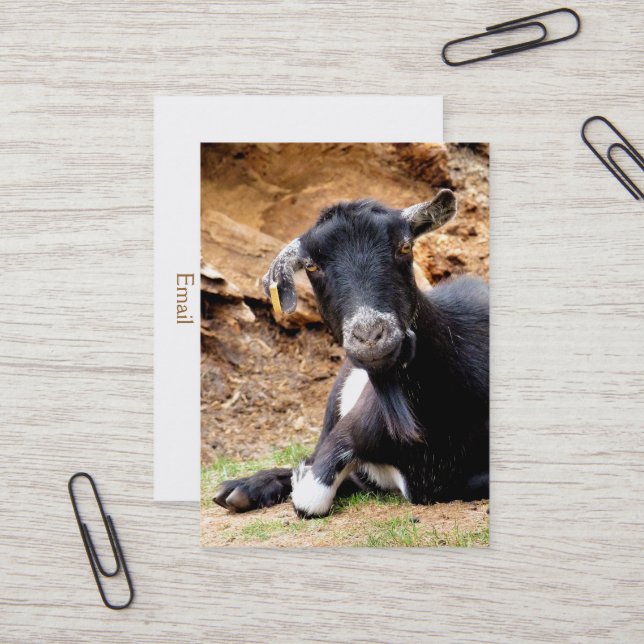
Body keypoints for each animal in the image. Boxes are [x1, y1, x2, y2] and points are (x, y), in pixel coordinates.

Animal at [214, 189, 489, 518]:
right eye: (311, 266)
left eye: (405, 246)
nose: (370, 336)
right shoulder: (347, 433)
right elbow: (311, 496)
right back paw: (241, 489)